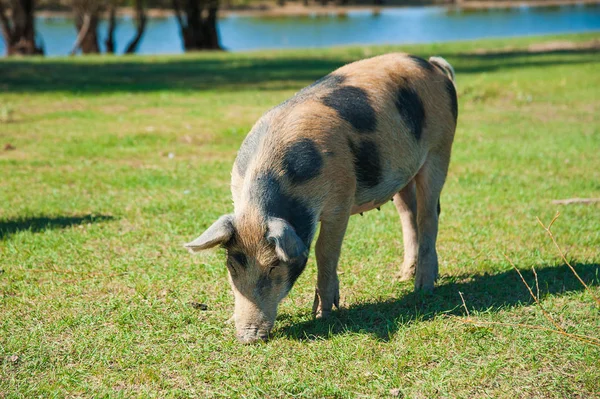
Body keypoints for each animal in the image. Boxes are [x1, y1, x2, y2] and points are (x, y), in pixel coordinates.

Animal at [185, 53, 458, 346]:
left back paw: (422, 288)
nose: (248, 338)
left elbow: (324, 251)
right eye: (232, 266)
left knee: (428, 215)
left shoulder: (341, 199)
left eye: (274, 266)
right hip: (403, 174)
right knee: (408, 214)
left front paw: (322, 314)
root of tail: (431, 64)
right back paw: (402, 277)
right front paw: (228, 321)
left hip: (440, 148)